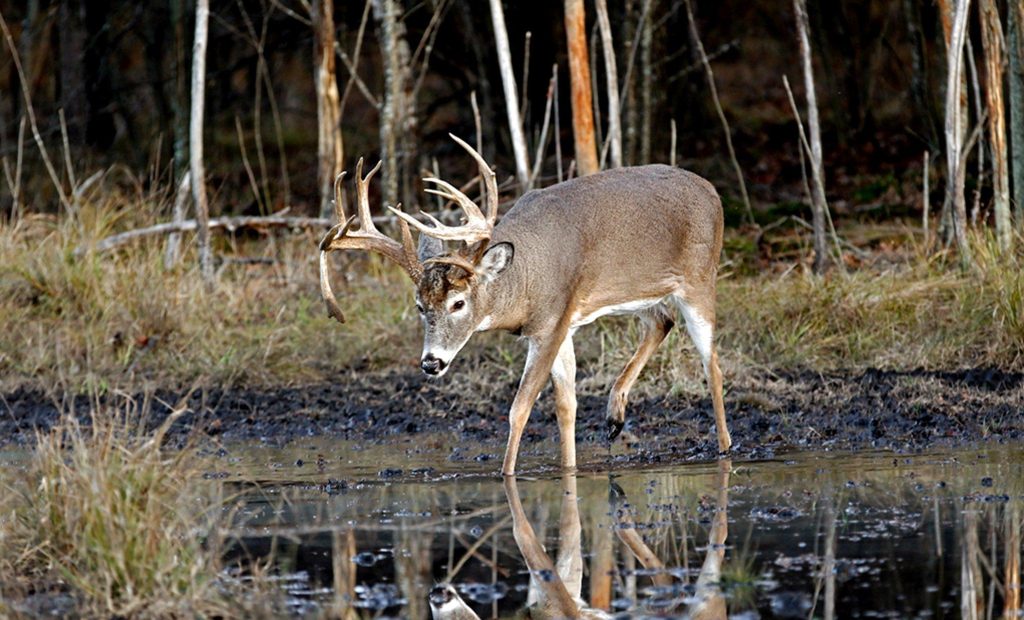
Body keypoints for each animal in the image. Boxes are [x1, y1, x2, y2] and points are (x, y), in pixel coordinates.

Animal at [319, 134, 729, 473]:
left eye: (458, 303)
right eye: (420, 306)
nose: (431, 362)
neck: (525, 278)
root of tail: (712, 190)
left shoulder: (550, 323)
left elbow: (521, 407)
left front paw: (507, 474)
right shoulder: (562, 323)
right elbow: (566, 405)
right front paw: (569, 468)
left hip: (699, 278)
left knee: (712, 364)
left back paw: (724, 447)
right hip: (639, 292)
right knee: (662, 320)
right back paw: (615, 415)